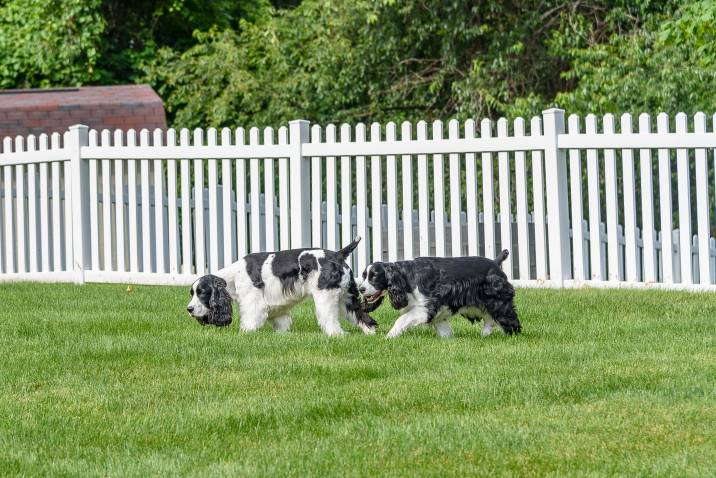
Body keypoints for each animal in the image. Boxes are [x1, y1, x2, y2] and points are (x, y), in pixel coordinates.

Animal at [185, 238, 378, 336]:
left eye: (202, 292)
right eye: (192, 293)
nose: (189, 309)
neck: (233, 277)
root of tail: (338, 255)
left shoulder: (253, 303)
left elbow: (249, 322)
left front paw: (244, 334)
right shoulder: (278, 306)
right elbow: (280, 322)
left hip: (326, 296)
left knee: (330, 320)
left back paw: (335, 335)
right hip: (347, 297)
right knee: (362, 316)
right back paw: (371, 334)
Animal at [358, 252, 520, 338]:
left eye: (374, 276)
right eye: (364, 276)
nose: (361, 289)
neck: (406, 276)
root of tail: (495, 263)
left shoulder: (427, 306)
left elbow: (402, 319)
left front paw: (389, 336)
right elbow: (443, 326)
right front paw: (448, 339)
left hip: (498, 300)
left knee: (508, 318)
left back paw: (513, 336)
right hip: (477, 305)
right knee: (489, 318)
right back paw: (484, 334)